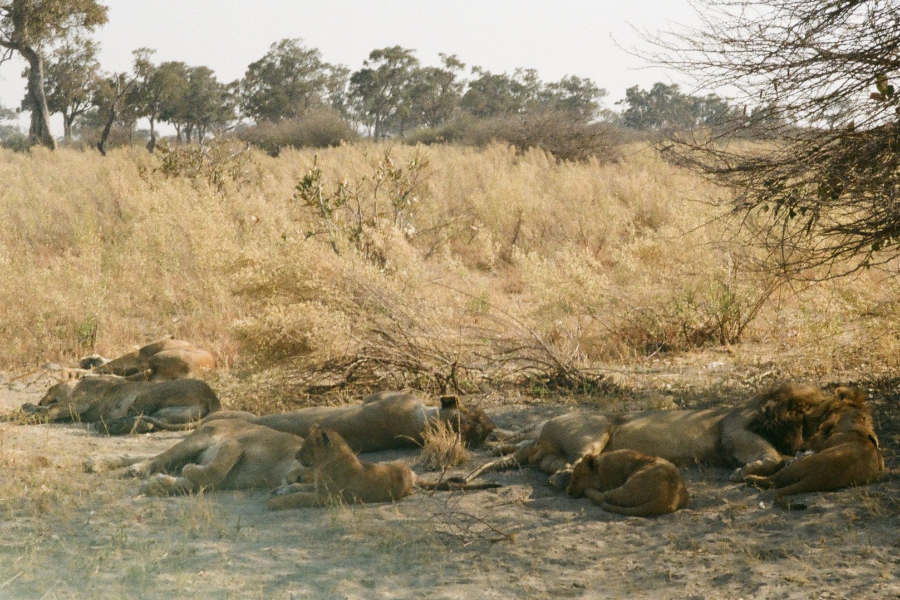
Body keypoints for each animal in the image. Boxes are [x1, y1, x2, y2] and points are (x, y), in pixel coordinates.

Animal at [20, 378, 221, 434]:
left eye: (49, 389)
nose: (40, 400)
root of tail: (212, 396)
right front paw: (27, 407)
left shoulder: (78, 402)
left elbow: (53, 409)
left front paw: (26, 416)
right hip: (171, 414)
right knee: (147, 422)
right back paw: (109, 426)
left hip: (150, 392)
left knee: (137, 415)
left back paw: (107, 425)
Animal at [474, 384, 860, 488]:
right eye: (824, 415)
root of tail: (540, 439)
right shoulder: (733, 432)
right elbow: (773, 456)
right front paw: (748, 471)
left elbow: (780, 458)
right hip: (595, 429)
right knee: (581, 459)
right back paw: (567, 478)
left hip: (554, 454)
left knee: (559, 466)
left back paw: (562, 475)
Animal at [740, 394, 884, 510]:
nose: (800, 448)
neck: (858, 434)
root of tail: (820, 477)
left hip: (797, 466)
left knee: (771, 481)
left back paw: (749, 477)